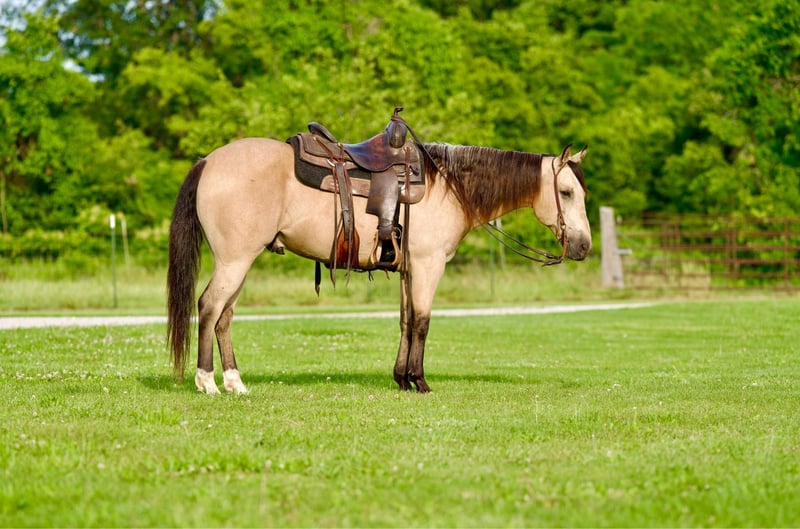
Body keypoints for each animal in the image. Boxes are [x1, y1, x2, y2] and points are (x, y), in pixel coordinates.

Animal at [167, 132, 591, 395]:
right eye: (566, 192)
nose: (584, 247)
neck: (447, 186)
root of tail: (209, 161)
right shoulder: (428, 265)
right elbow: (422, 322)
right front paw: (420, 382)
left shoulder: (408, 270)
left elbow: (405, 322)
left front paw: (401, 379)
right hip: (234, 261)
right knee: (208, 308)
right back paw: (207, 382)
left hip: (240, 262)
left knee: (224, 317)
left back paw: (234, 383)